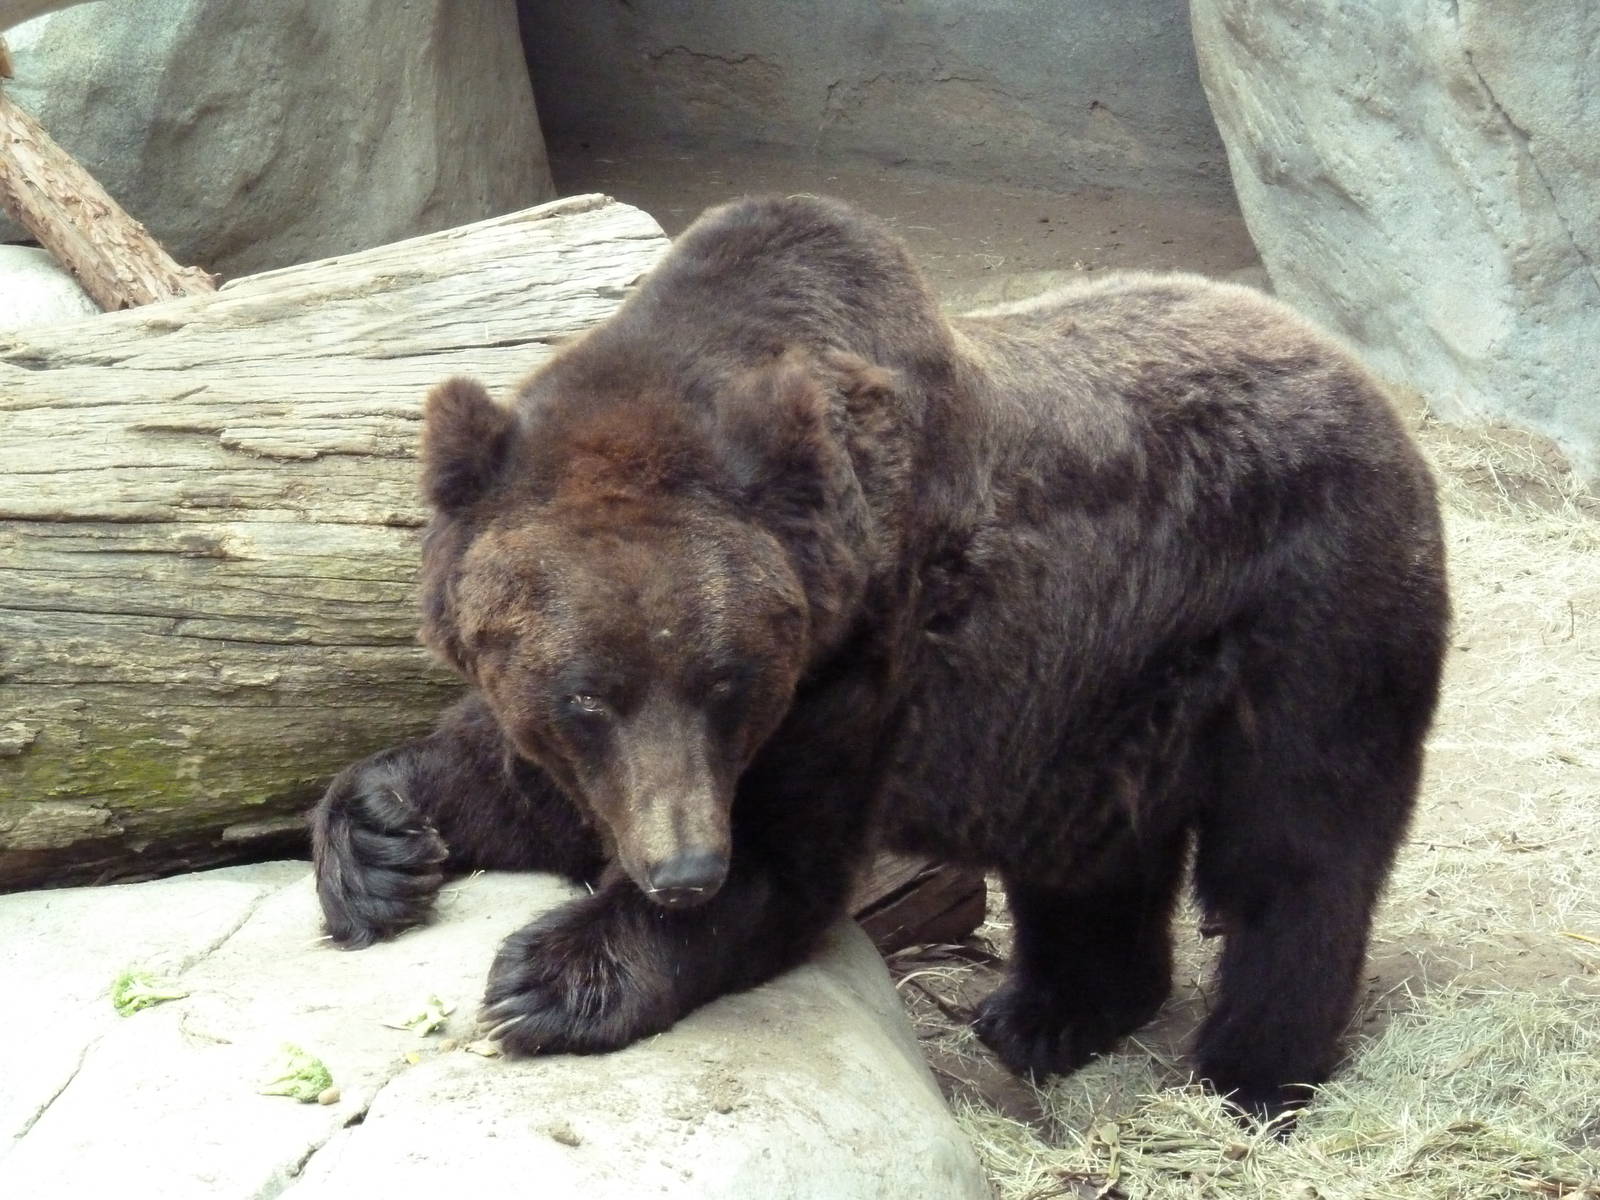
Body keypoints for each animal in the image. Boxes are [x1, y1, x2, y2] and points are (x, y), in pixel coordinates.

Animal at [311, 194, 1448, 1120]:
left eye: (727, 685)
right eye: (586, 696)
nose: (682, 870)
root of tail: (1366, 384)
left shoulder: (860, 662)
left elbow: (787, 866)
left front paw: (546, 975)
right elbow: (516, 784)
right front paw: (379, 843)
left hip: (1308, 620)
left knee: (1298, 852)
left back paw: (1250, 1074)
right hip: (1101, 691)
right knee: (1091, 851)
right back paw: (1046, 1013)